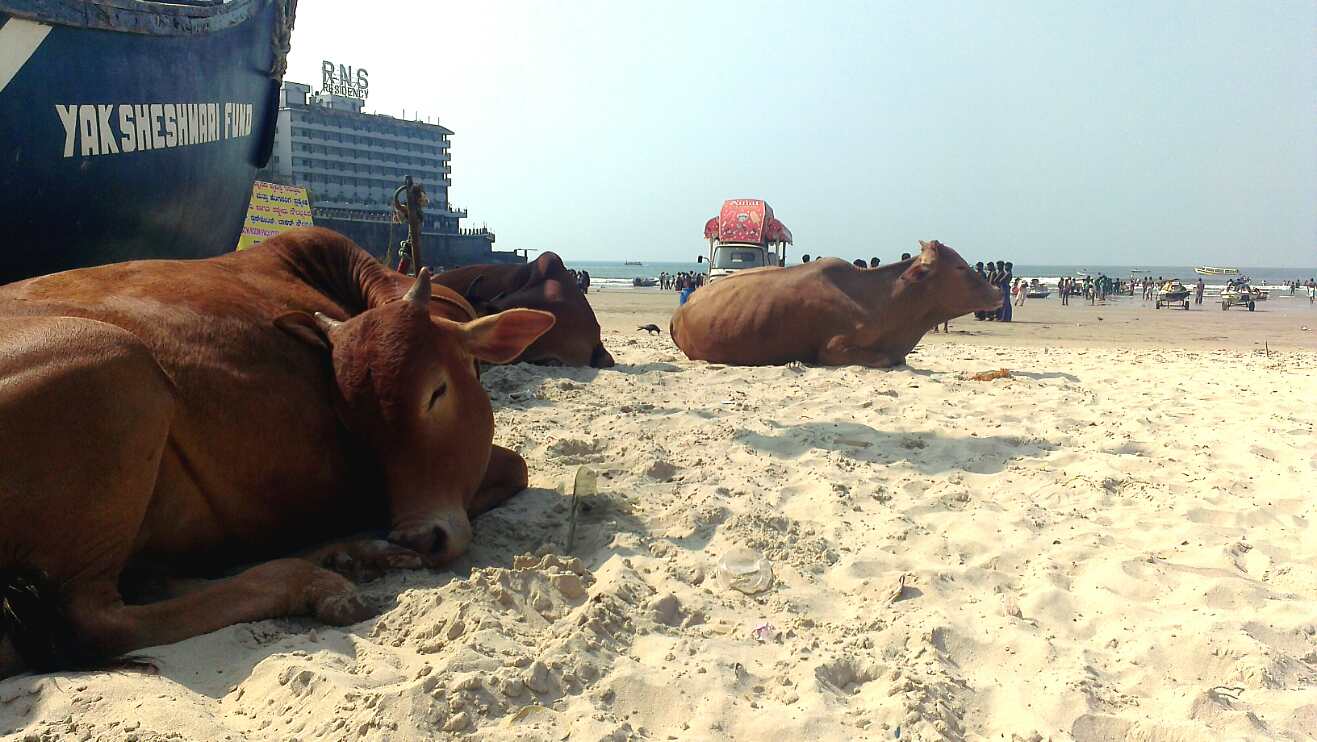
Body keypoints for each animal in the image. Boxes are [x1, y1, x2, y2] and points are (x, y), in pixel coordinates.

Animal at [0, 228, 553, 680]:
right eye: (351, 422)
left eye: (438, 391)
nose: (419, 535)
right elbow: (515, 465)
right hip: (117, 357)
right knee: (94, 620)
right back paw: (316, 579)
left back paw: (349, 553)